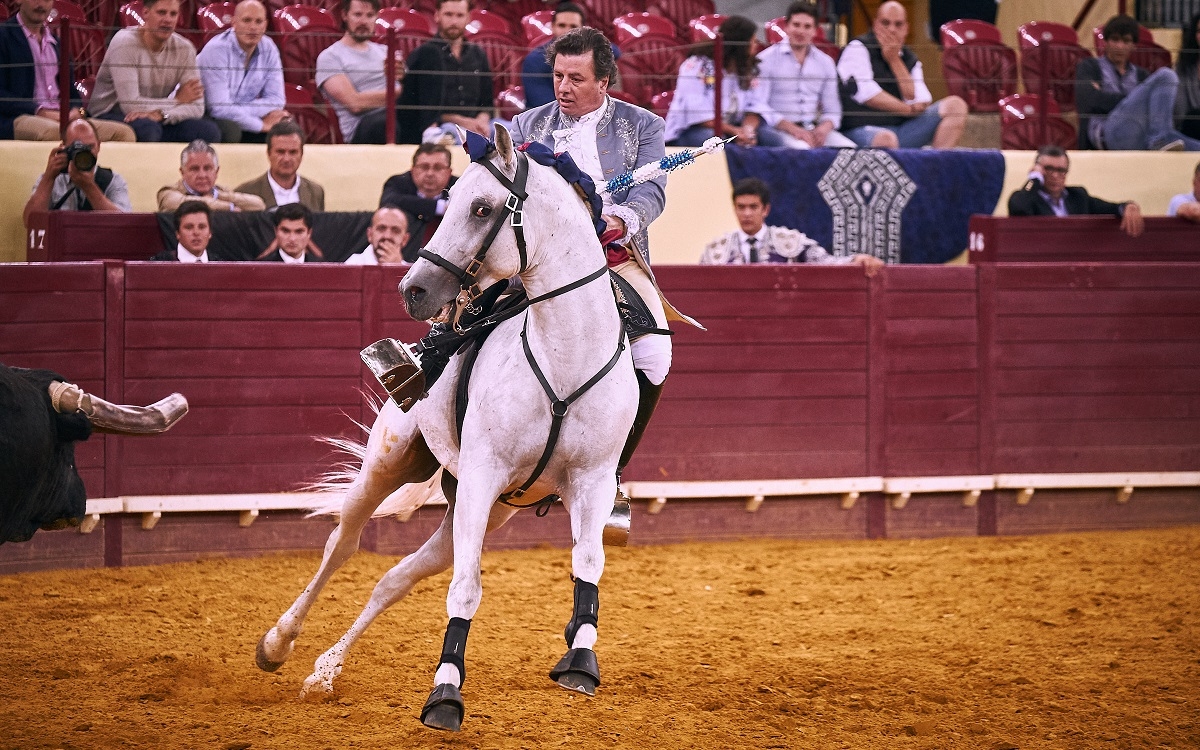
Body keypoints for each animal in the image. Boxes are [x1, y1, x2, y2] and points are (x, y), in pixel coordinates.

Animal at [255, 125, 639, 732]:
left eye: (482, 207)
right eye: (449, 198)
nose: (412, 289)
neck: (565, 357)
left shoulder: (592, 481)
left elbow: (588, 565)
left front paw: (580, 660)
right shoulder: (484, 473)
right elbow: (466, 587)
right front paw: (445, 694)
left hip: (493, 506)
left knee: (398, 576)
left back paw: (325, 672)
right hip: (392, 462)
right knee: (342, 544)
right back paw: (277, 643)